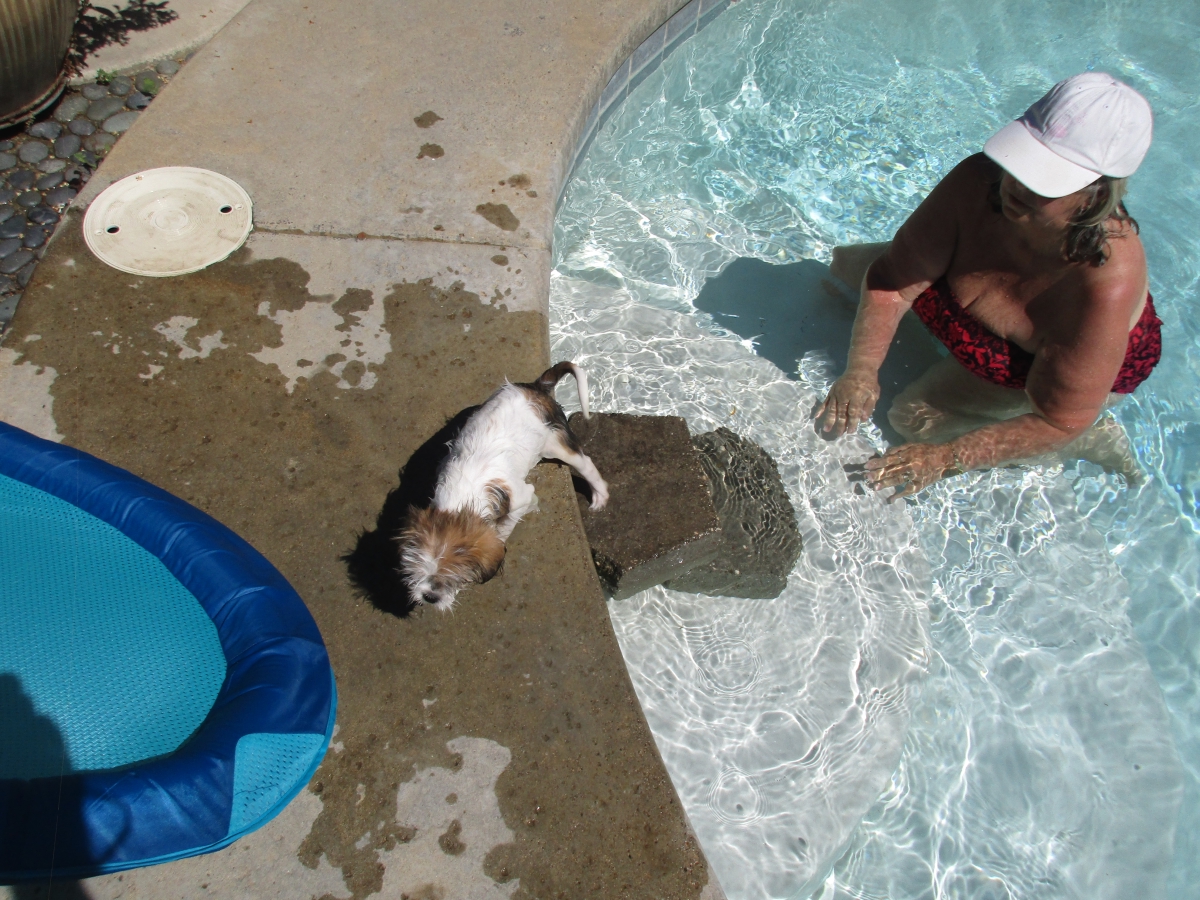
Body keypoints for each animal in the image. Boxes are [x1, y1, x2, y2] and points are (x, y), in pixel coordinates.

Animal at [398, 361, 609, 611]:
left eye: (455, 579)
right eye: (416, 567)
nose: (429, 597)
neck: (462, 500)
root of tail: (536, 388)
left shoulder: (522, 496)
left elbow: (506, 525)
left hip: (555, 445)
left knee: (586, 464)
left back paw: (600, 495)